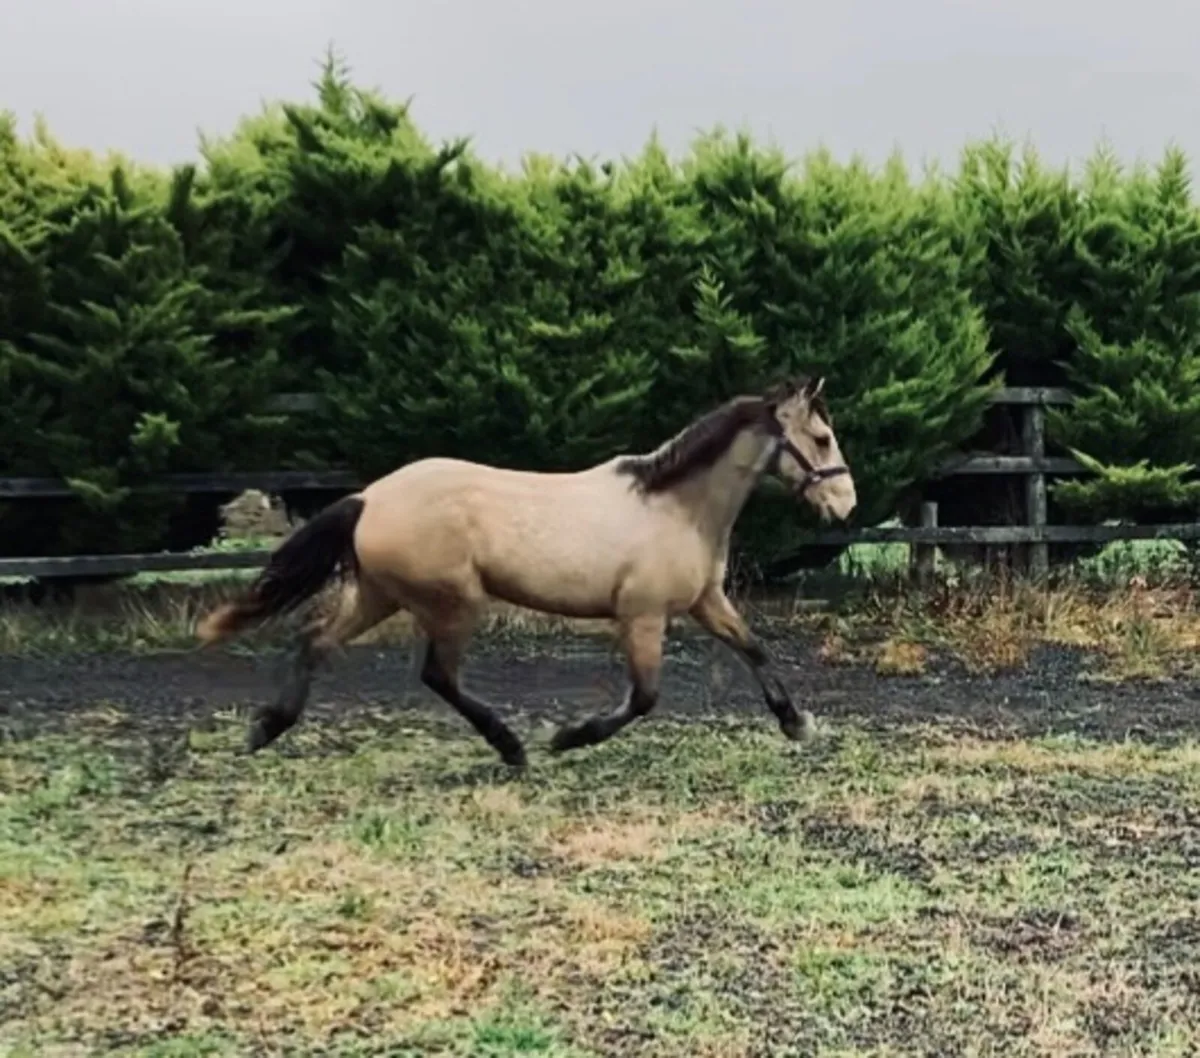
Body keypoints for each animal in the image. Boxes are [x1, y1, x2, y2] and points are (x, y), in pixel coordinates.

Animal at [196, 375, 857, 766]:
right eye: (822, 437)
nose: (847, 505)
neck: (673, 507)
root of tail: (370, 497)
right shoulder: (641, 617)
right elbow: (644, 697)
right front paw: (568, 737)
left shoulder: (705, 603)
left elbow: (755, 648)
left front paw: (797, 723)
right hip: (453, 603)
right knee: (437, 674)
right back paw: (512, 748)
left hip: (382, 594)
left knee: (317, 641)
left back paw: (265, 728)